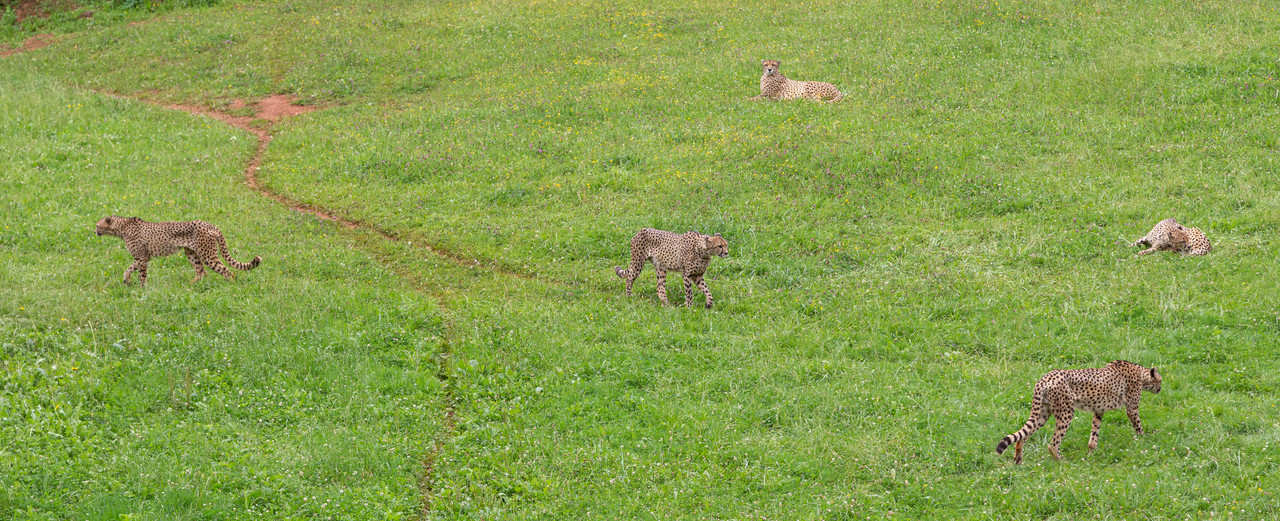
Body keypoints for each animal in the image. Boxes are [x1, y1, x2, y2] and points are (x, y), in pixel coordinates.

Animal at [97, 217, 264, 288]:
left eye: (98, 226)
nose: (94, 231)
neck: (121, 226)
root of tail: (210, 225)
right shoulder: (142, 257)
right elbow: (129, 268)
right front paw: (127, 280)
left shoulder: (143, 257)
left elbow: (140, 273)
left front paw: (142, 288)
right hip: (191, 253)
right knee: (202, 272)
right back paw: (189, 286)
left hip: (207, 254)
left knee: (227, 271)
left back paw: (230, 286)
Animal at [993, 358, 1167, 465]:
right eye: (1160, 380)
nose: (1160, 389)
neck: (1140, 374)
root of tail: (1044, 378)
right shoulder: (1131, 408)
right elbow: (1138, 425)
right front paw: (1144, 440)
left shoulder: (1098, 410)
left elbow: (1094, 434)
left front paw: (1091, 452)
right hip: (1066, 412)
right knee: (1053, 443)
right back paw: (1061, 461)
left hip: (1043, 413)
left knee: (1023, 436)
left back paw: (1018, 460)